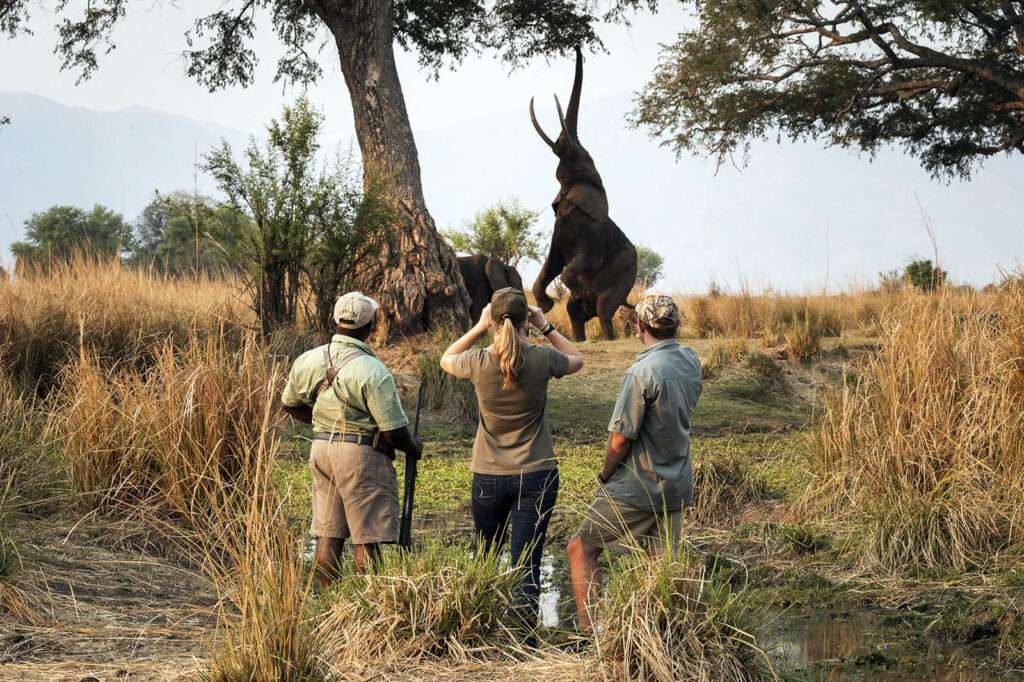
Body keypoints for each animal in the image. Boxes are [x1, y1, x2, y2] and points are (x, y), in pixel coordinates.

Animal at [532, 45, 634, 339]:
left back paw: (605, 331)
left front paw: (577, 289)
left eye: (585, 157)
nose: (577, 46)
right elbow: (551, 264)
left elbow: (572, 266)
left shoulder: (592, 236)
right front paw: (546, 304)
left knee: (604, 307)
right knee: (575, 312)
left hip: (625, 276)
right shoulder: (558, 231)